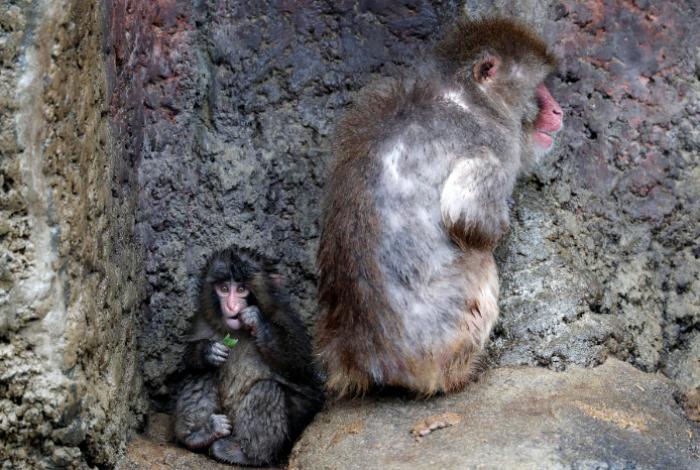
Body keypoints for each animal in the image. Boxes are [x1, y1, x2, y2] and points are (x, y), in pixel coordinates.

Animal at [174, 246, 323, 466]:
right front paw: (207, 351)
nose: (231, 306)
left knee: (267, 389)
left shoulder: (287, 320)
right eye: (224, 288)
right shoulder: (201, 321)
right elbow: (186, 363)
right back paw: (199, 435)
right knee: (202, 373)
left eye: (242, 289)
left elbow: (301, 369)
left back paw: (245, 454)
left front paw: (258, 322)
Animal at [315, 18, 563, 397]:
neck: (470, 98)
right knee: (478, 262)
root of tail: (364, 358)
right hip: (440, 337)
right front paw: (500, 228)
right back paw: (461, 373)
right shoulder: (494, 143)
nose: (558, 111)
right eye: (540, 89)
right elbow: (467, 217)